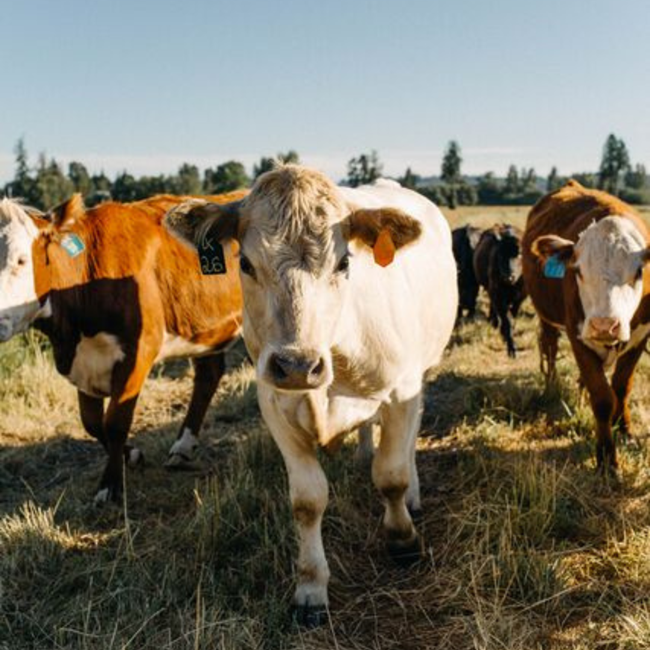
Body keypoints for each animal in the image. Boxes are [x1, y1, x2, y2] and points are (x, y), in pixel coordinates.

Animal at [0, 192, 244, 503]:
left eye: (20, 260)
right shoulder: (84, 362)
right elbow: (92, 423)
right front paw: (132, 455)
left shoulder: (138, 352)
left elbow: (115, 422)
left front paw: (111, 485)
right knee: (208, 375)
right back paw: (183, 447)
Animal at [164, 165, 458, 626]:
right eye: (245, 263)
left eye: (344, 262)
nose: (298, 364)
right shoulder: (275, 406)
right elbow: (307, 500)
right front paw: (311, 587)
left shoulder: (402, 391)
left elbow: (390, 475)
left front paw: (402, 538)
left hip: (422, 373)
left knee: (408, 443)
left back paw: (412, 494)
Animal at [473, 224, 526, 357]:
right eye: (500, 255)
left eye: (520, 254)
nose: (508, 276)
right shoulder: (498, 295)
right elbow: (507, 320)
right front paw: (512, 349)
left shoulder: (519, 298)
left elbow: (512, 318)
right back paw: (494, 323)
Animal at [522, 180, 650, 472]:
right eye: (578, 270)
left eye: (639, 271)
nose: (605, 325)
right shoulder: (577, 336)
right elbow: (602, 397)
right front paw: (606, 459)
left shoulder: (641, 337)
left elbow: (621, 387)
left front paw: (625, 430)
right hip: (546, 317)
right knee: (549, 350)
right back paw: (551, 387)